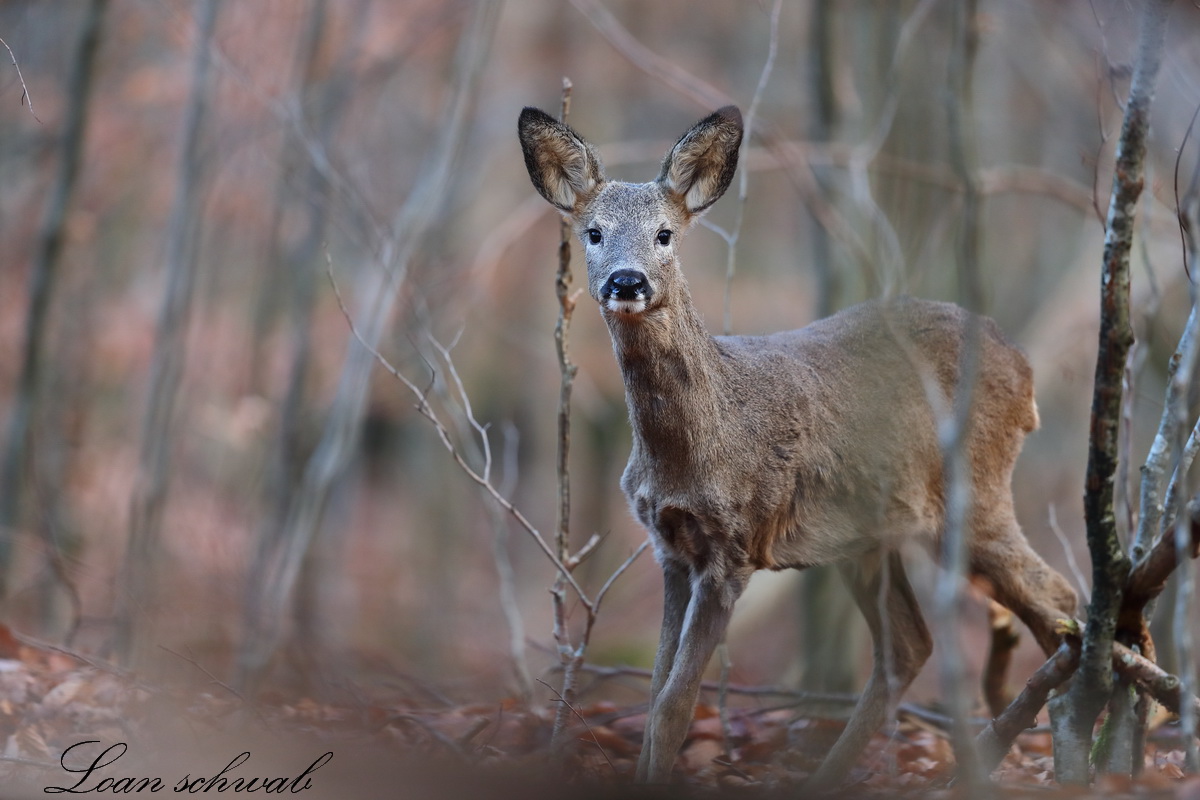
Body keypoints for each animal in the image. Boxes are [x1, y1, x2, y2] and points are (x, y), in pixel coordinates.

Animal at [516, 106, 1080, 786]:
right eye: (593, 233)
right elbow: (653, 692)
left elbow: (676, 703)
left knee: (1058, 600)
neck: (698, 443)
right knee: (910, 644)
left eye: (665, 234)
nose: (628, 282)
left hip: (974, 494)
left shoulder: (733, 548)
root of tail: (1023, 367)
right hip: (865, 536)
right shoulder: (669, 547)